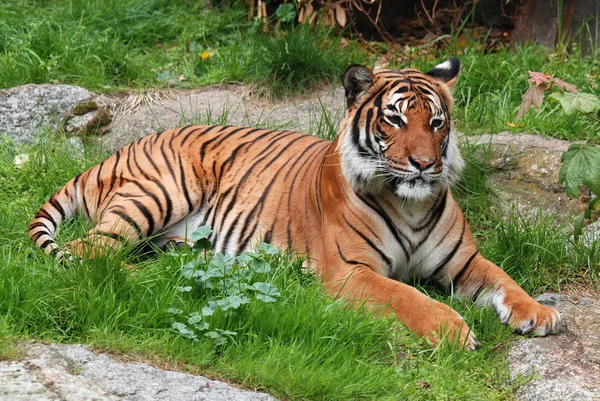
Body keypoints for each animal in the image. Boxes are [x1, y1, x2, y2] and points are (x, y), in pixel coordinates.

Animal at [29, 57, 564, 348]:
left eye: (436, 122)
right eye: (394, 119)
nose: (424, 164)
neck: (410, 203)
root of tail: (121, 146)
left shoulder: (464, 260)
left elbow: (504, 279)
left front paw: (538, 312)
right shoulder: (350, 271)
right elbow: (408, 296)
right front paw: (453, 331)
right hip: (159, 191)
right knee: (88, 254)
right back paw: (142, 281)